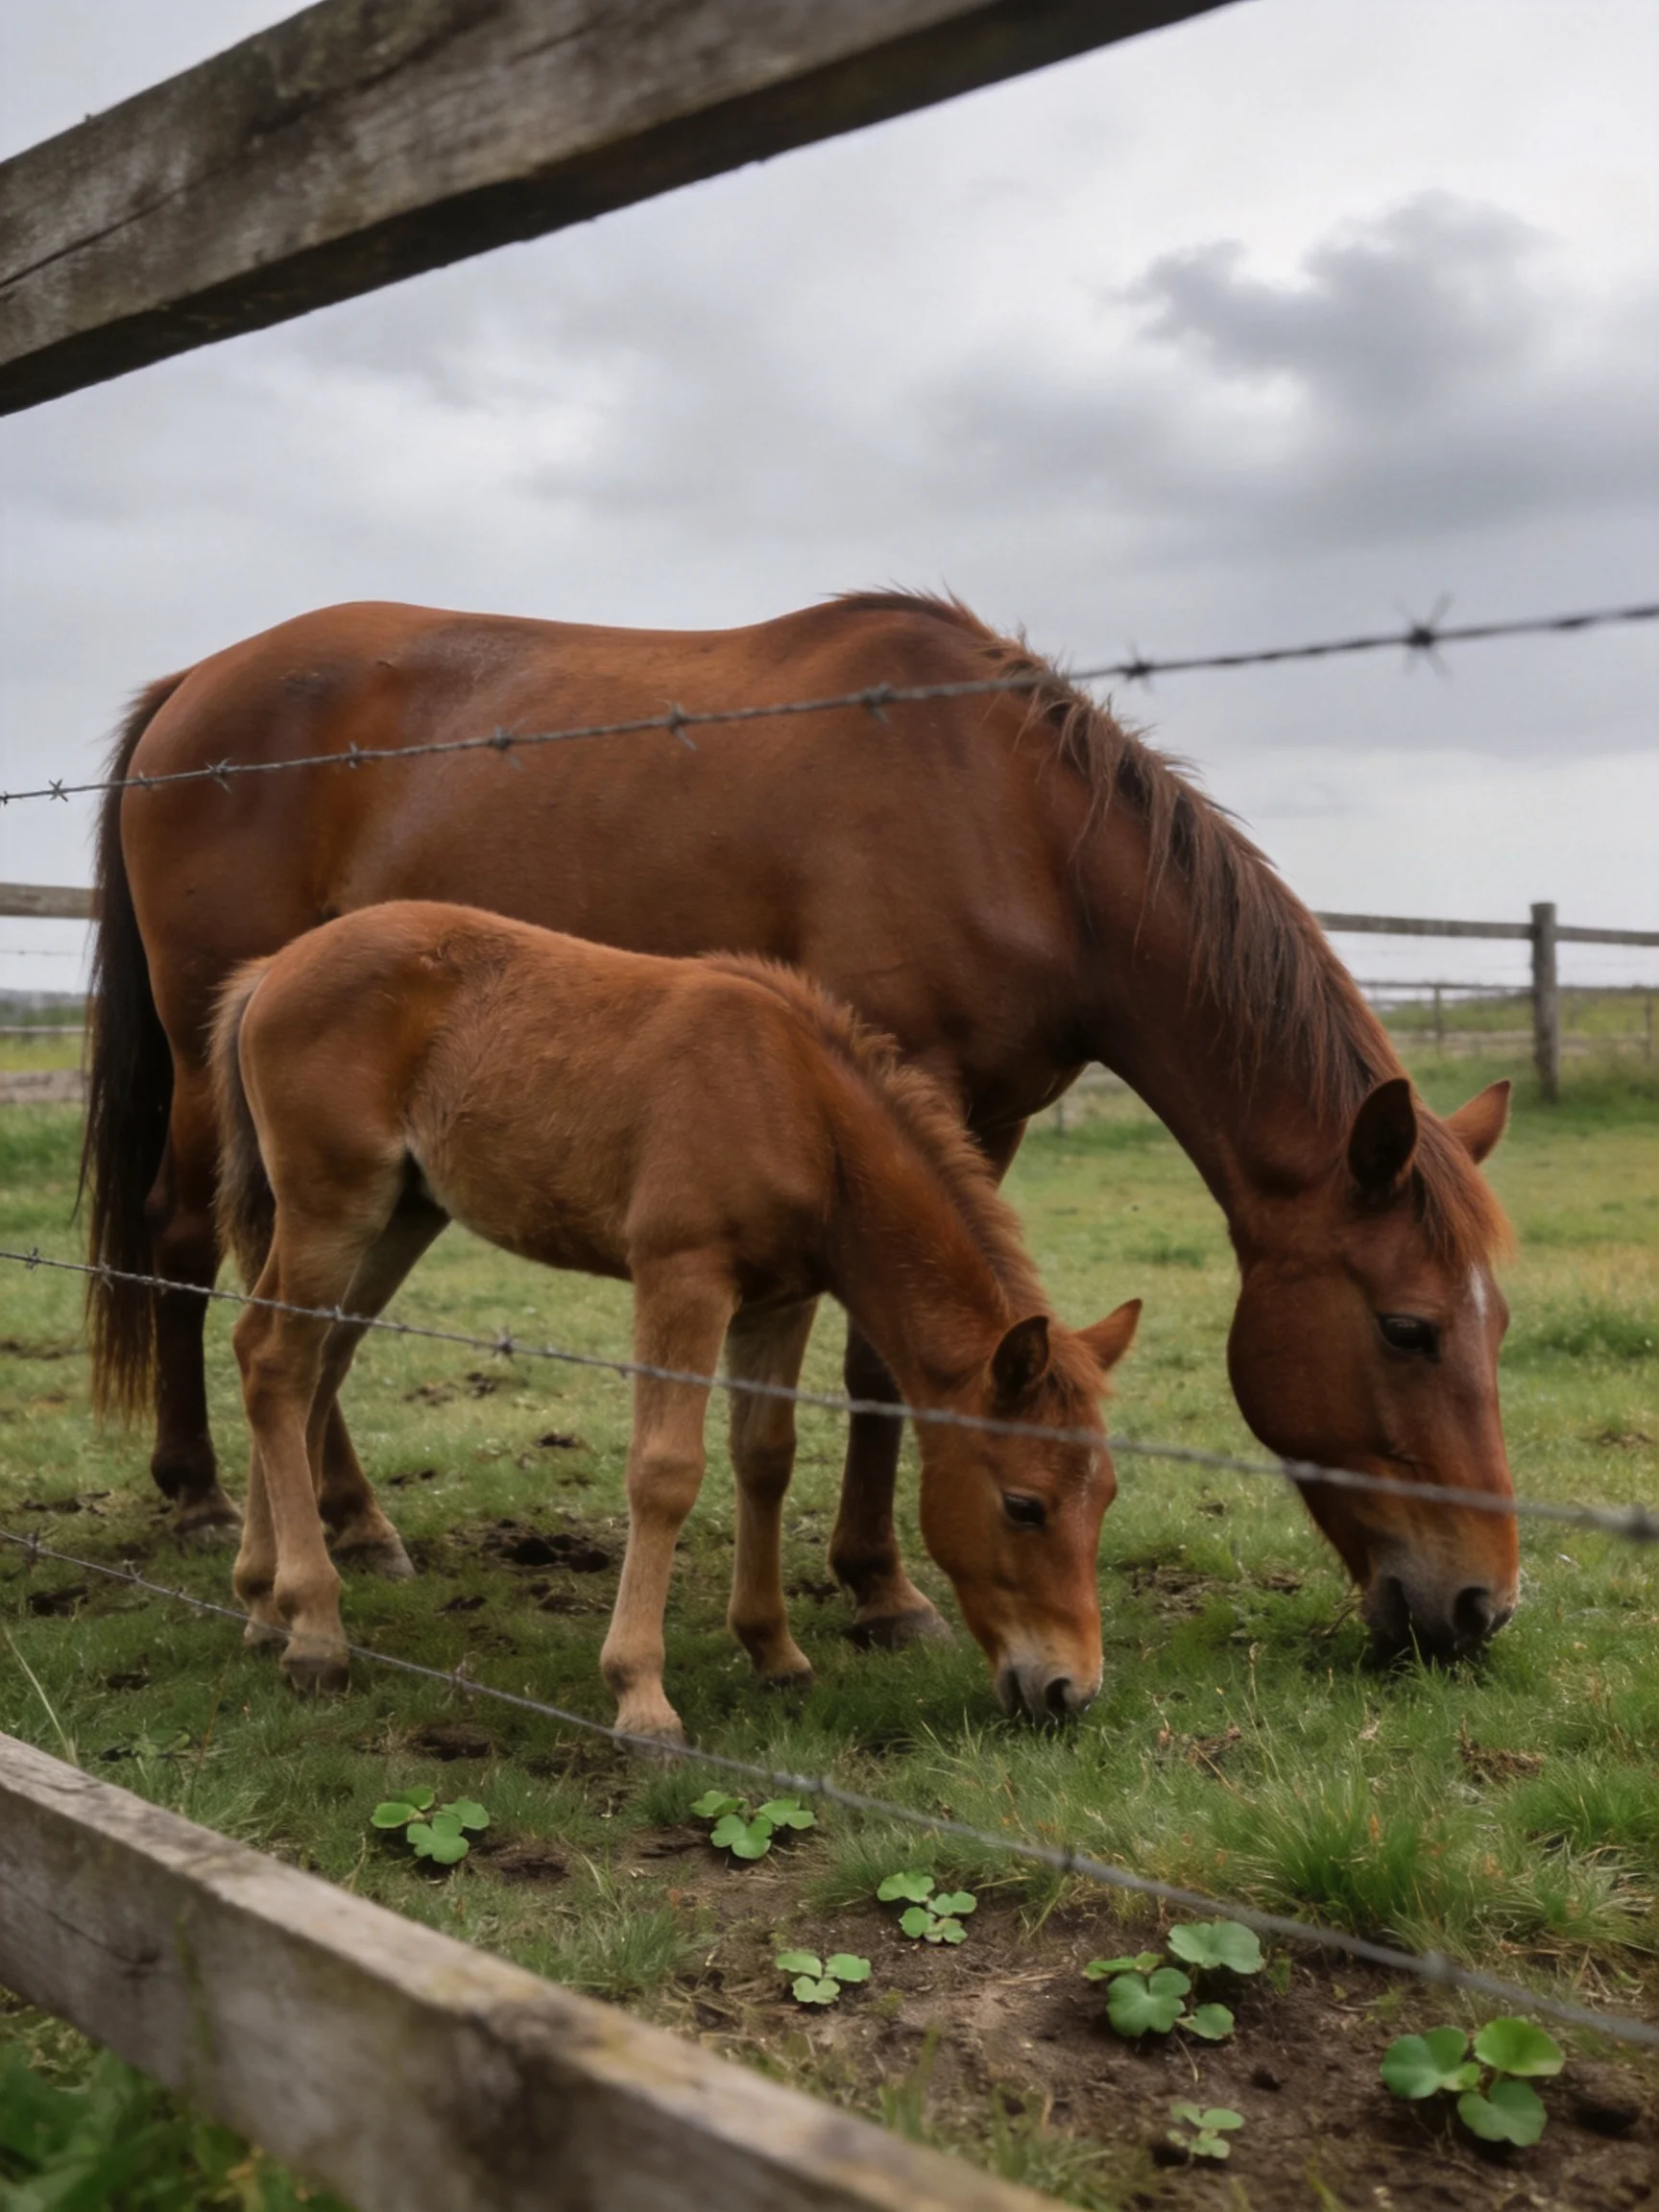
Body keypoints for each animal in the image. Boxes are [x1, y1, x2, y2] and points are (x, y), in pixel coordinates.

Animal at [208, 900, 1140, 1737]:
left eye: (1106, 1498)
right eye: (1024, 1506)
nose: (1070, 1691)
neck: (798, 1109)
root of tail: (272, 969)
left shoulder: (779, 1302)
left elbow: (764, 1457)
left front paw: (775, 1652)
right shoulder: (681, 1278)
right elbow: (665, 1472)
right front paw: (641, 1696)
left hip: (400, 1216)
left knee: (305, 1360)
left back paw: (263, 1604)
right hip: (333, 1207)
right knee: (276, 1362)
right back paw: (314, 1632)